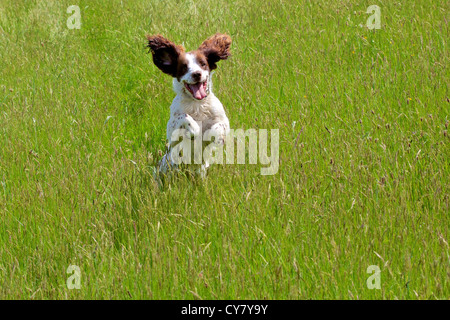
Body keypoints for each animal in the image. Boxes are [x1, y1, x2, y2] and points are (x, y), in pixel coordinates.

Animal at [147, 33, 232, 179]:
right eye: (184, 67)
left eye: (203, 64)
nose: (196, 74)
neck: (197, 104)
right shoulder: (172, 132)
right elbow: (183, 117)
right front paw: (194, 130)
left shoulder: (223, 120)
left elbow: (219, 126)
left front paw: (214, 136)